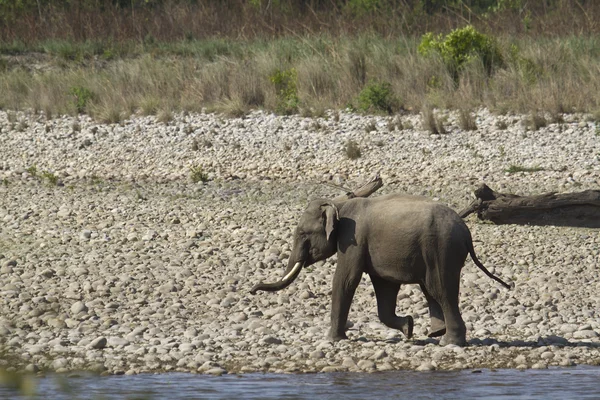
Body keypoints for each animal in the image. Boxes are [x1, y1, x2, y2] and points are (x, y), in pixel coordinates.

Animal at [250, 192, 510, 346]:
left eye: (303, 234)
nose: (252, 290)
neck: (338, 204)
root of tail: (466, 231)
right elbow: (384, 288)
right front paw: (408, 327)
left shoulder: (352, 240)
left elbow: (345, 280)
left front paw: (333, 340)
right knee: (432, 290)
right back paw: (436, 334)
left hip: (442, 249)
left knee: (440, 290)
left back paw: (449, 342)